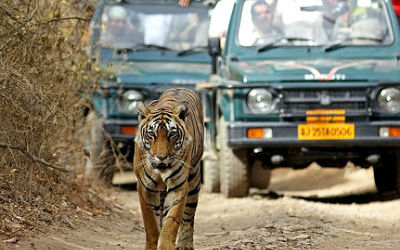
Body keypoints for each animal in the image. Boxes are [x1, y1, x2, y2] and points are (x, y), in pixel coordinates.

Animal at [134, 88, 205, 250]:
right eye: (151, 134)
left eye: (172, 134)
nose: (161, 157)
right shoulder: (145, 188)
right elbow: (151, 224)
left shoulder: (178, 186)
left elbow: (172, 221)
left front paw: (166, 245)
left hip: (194, 180)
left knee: (188, 216)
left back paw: (185, 244)